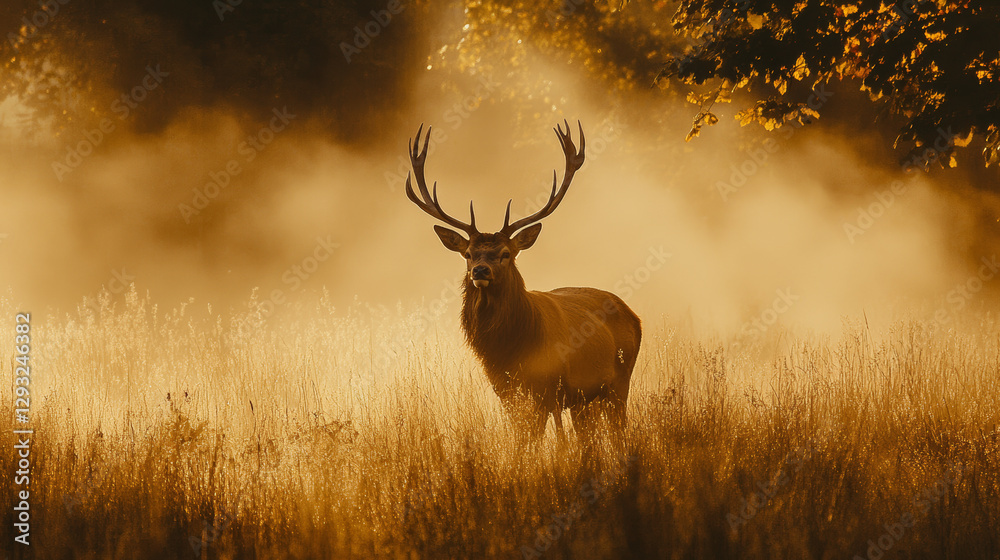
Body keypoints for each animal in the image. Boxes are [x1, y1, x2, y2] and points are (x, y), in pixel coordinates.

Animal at [404, 121, 641, 441]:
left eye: (505, 253)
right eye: (468, 254)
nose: (480, 271)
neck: (510, 349)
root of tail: (634, 315)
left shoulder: (549, 385)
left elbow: (540, 437)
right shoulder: (503, 386)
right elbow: (523, 437)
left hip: (620, 381)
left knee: (618, 432)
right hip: (584, 400)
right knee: (587, 439)